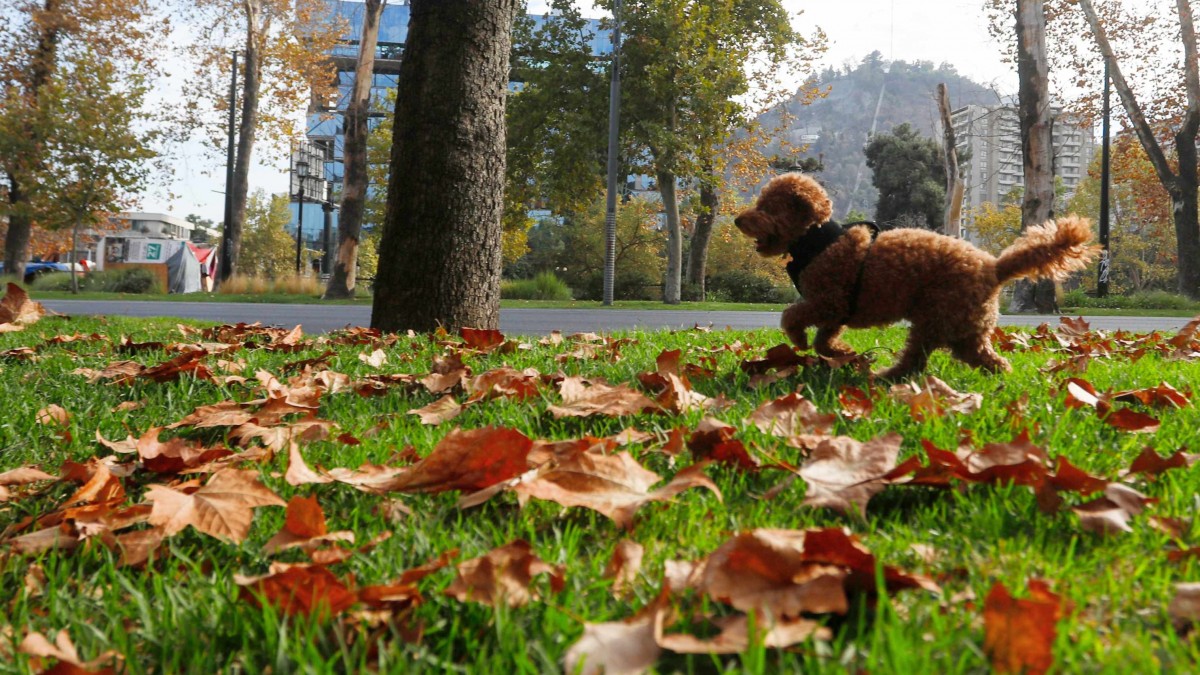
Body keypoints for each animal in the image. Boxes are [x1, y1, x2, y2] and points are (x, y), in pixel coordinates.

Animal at [729, 171, 1099, 379]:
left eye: (766, 207)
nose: (737, 220)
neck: (818, 240)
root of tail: (993, 268)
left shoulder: (828, 301)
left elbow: (791, 316)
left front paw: (801, 340)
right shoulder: (836, 311)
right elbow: (825, 339)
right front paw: (843, 353)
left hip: (936, 318)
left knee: (917, 361)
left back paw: (884, 377)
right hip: (961, 326)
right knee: (984, 358)